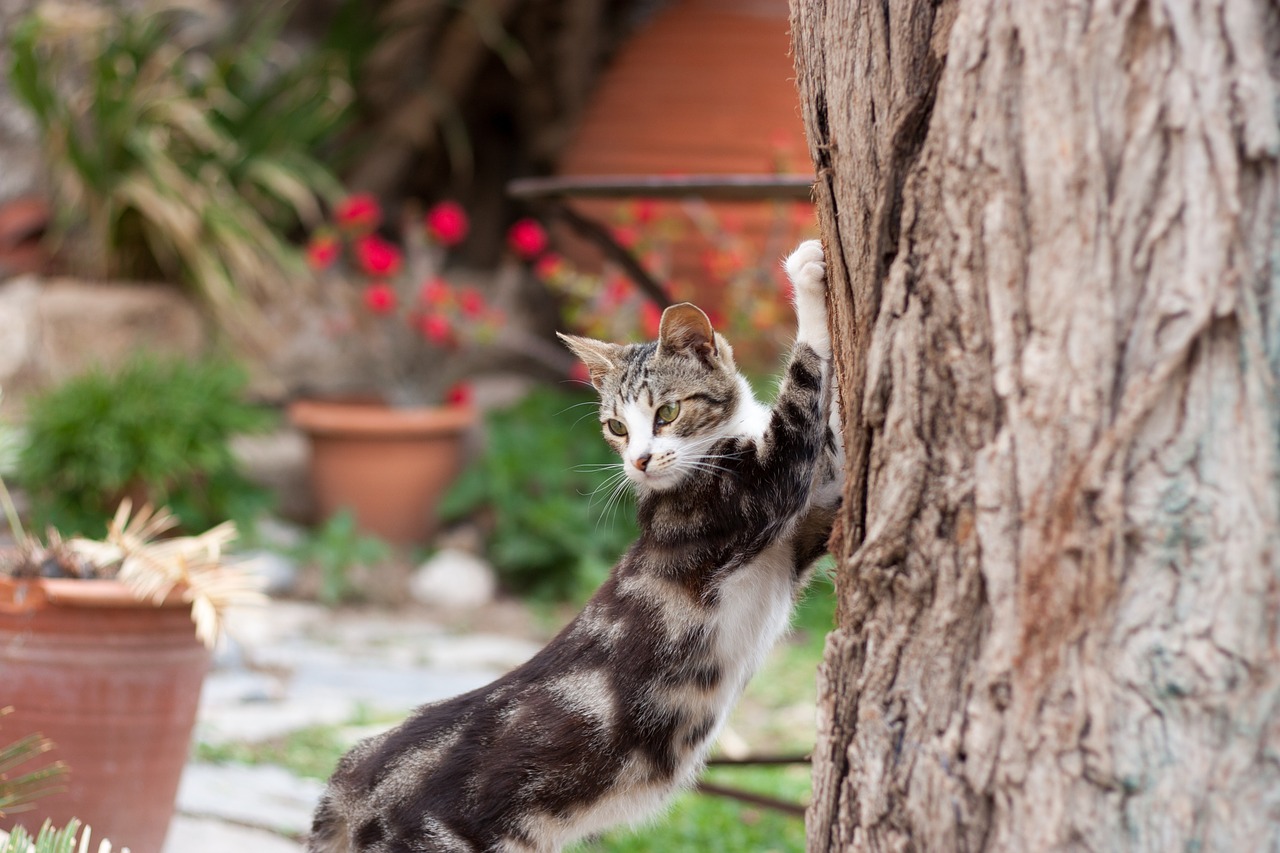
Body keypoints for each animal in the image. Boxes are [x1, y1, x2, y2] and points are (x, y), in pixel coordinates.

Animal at [307, 239, 839, 850]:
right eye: (617, 427)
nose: (640, 461)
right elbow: (805, 397)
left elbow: (835, 461)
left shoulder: (799, 537)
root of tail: (356, 777)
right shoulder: (755, 492)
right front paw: (807, 278)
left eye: (667, 412)